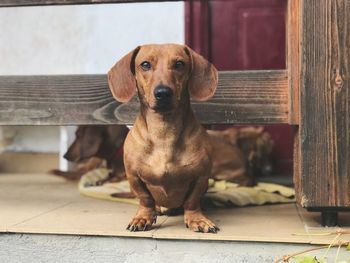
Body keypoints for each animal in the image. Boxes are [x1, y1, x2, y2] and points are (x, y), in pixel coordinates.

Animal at [108, 44, 220, 234]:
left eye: (179, 64)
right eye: (145, 64)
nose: (163, 93)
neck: (163, 134)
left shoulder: (201, 177)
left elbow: (192, 201)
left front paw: (197, 219)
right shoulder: (133, 176)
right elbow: (145, 198)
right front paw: (143, 217)